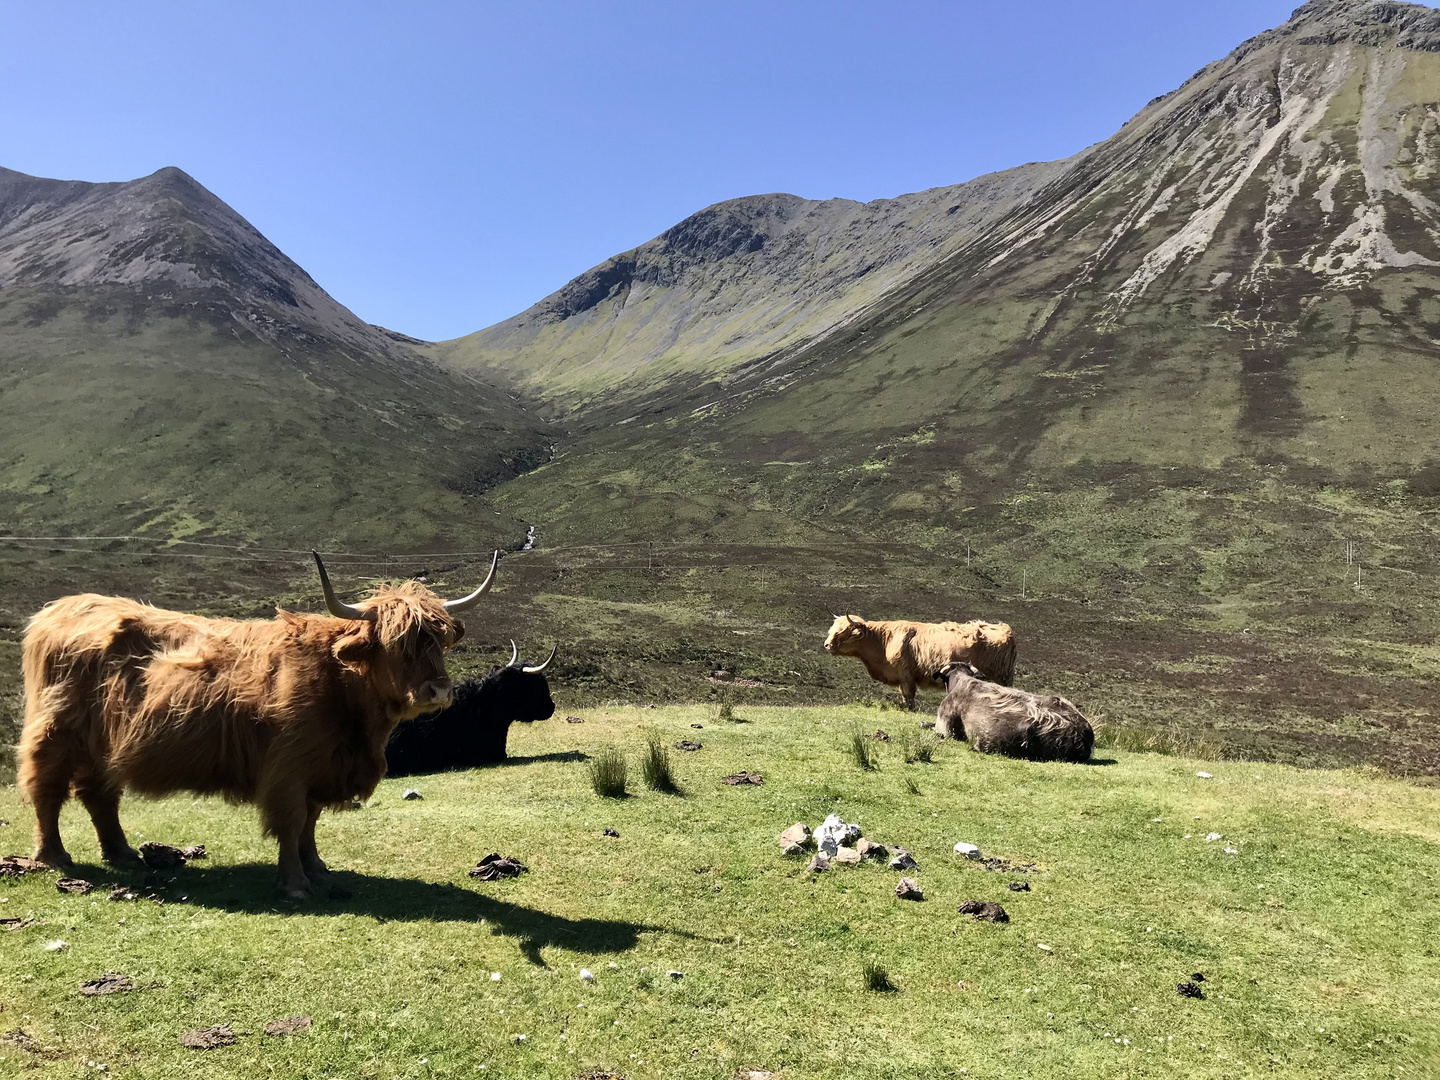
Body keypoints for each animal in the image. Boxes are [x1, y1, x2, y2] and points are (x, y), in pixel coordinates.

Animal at [14, 552, 498, 898]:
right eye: (396, 644)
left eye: (440, 641)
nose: (439, 690)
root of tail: (57, 609)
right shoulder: (290, 767)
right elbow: (292, 820)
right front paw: (295, 885)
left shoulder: (320, 767)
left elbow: (311, 823)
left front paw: (317, 868)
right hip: (56, 734)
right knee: (47, 790)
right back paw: (54, 856)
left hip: (102, 746)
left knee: (99, 795)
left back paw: (123, 854)